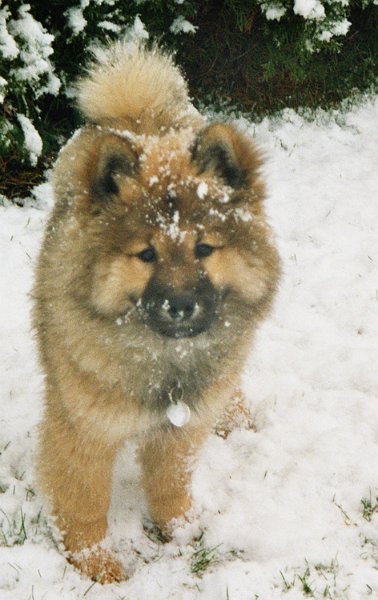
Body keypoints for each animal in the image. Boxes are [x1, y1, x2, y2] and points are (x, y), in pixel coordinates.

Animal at [33, 41, 280, 580]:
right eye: (146, 255)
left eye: (204, 249)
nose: (181, 305)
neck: (164, 363)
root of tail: (139, 113)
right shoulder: (84, 429)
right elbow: (85, 503)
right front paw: (96, 568)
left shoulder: (179, 431)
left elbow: (170, 486)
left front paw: (183, 533)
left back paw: (235, 415)